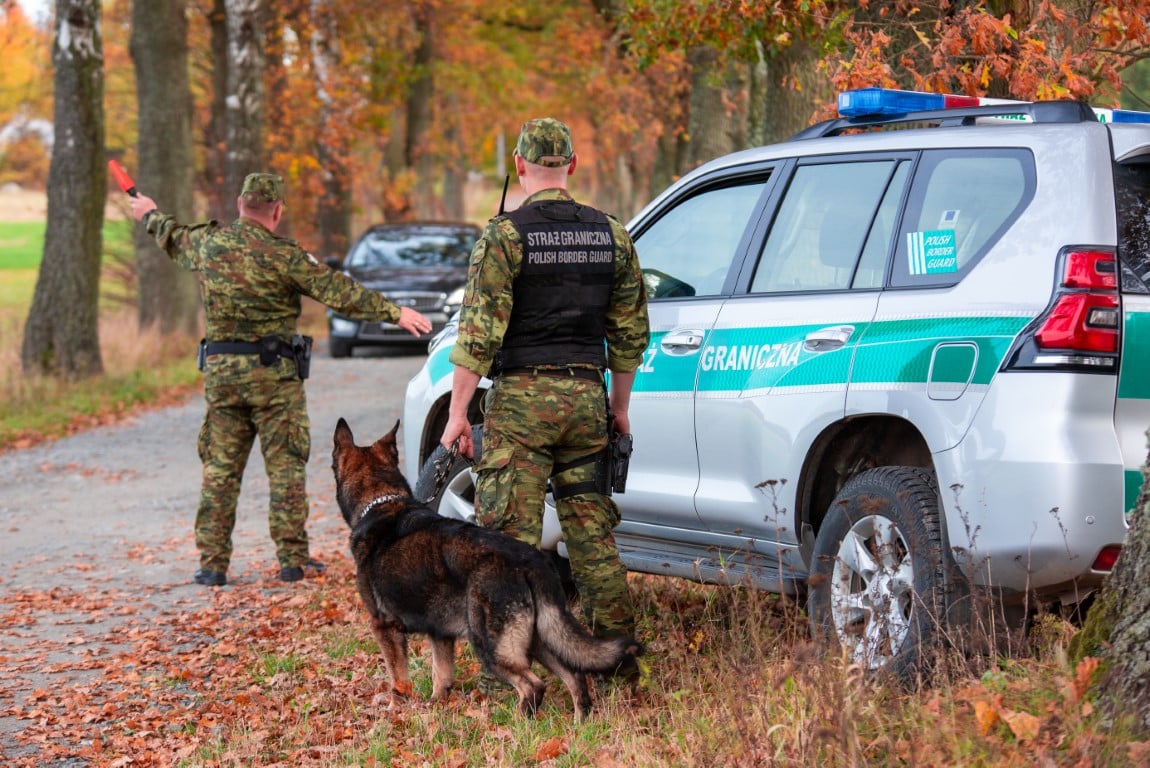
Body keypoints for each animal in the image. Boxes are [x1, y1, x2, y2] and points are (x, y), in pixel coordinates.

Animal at [333, 420, 644, 722]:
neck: (381, 502)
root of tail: (529, 561)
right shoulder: (439, 634)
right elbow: (441, 677)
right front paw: (435, 707)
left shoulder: (385, 627)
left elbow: (398, 678)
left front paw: (396, 709)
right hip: (540, 638)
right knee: (575, 675)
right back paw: (579, 724)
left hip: (489, 644)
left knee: (533, 685)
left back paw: (519, 723)